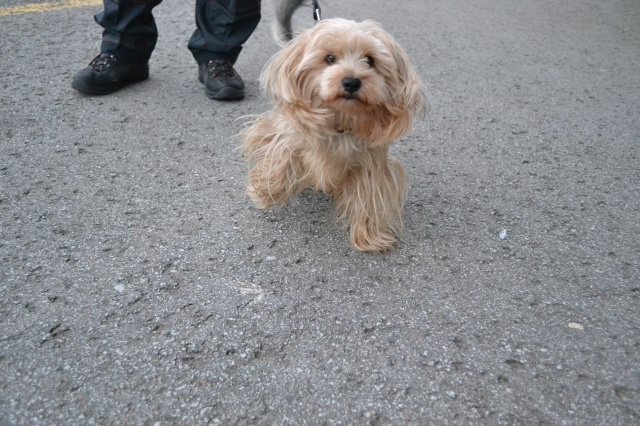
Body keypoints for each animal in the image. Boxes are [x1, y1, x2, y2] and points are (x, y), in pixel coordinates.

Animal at [241, 5, 427, 252]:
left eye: (370, 61)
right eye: (329, 58)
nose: (352, 81)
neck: (341, 120)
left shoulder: (370, 163)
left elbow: (368, 196)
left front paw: (370, 235)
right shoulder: (289, 135)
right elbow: (280, 157)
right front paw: (267, 191)